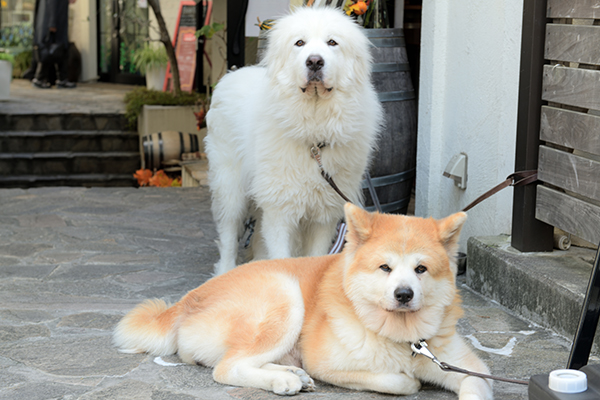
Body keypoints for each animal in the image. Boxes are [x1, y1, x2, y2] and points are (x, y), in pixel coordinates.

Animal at [112, 205, 492, 398]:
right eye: (385, 267)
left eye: (421, 269)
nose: (403, 294)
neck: (404, 339)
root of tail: (186, 300)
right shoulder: (328, 364)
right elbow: (400, 381)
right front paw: (409, 381)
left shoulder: (470, 369)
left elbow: (475, 383)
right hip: (284, 299)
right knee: (227, 368)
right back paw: (282, 381)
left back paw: (291, 373)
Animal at [204, 7, 382, 276]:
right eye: (300, 43)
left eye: (332, 42)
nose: (315, 61)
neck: (313, 132)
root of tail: (232, 73)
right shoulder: (280, 210)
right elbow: (280, 255)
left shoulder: (323, 215)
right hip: (230, 187)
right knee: (228, 234)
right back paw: (225, 271)